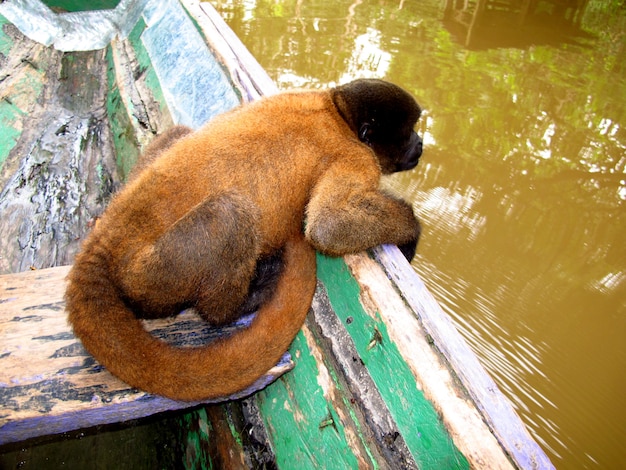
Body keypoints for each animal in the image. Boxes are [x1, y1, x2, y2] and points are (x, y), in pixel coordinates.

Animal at [64, 78, 424, 400]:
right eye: (409, 132)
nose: (420, 144)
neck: (337, 110)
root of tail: (104, 240)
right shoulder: (357, 156)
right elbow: (328, 226)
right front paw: (410, 232)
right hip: (146, 277)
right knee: (230, 214)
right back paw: (238, 305)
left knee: (177, 132)